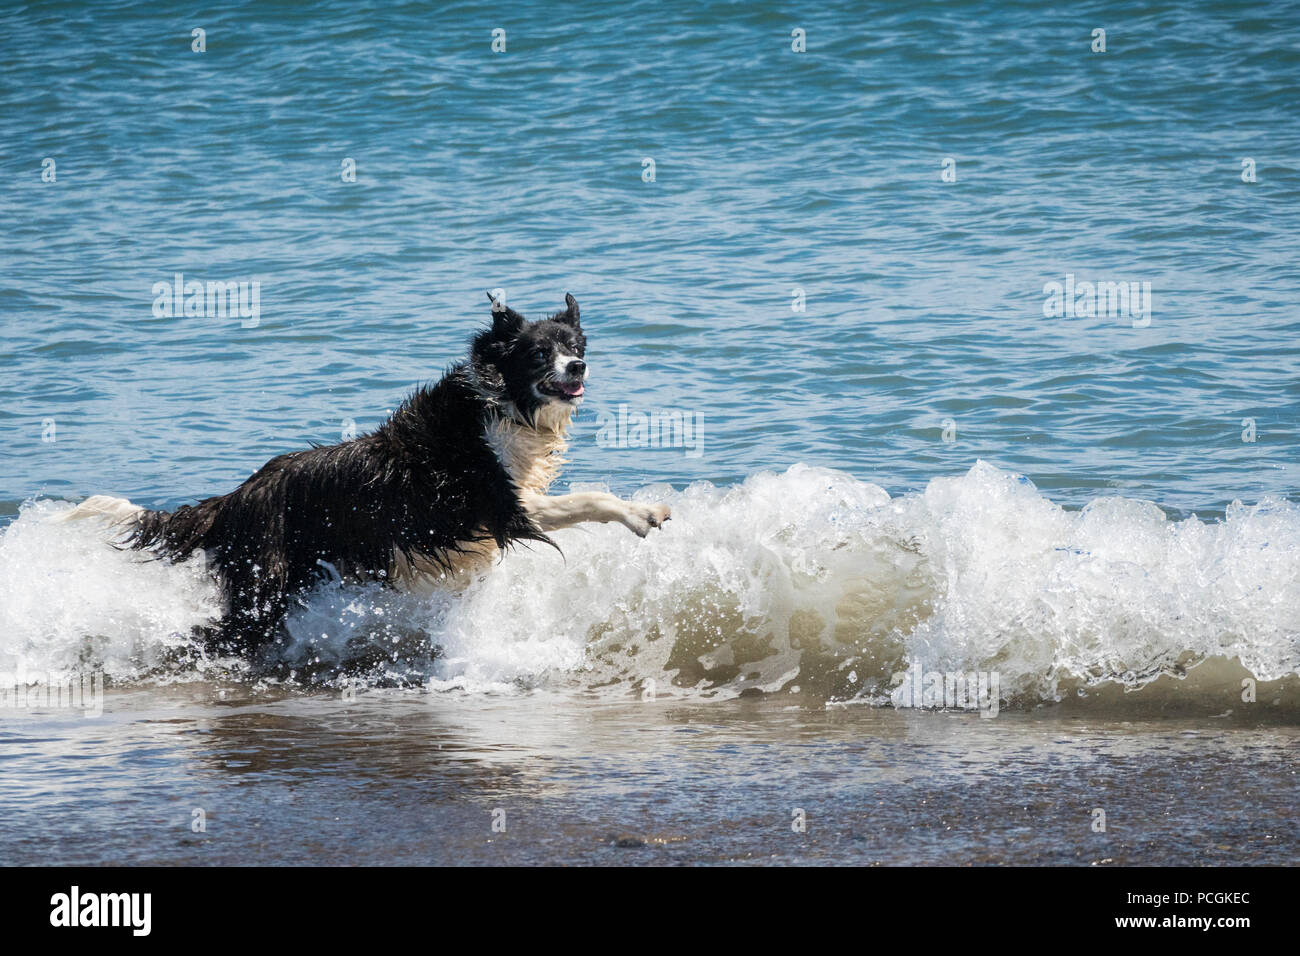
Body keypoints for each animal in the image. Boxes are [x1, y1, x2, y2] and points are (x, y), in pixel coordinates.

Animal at [59, 297, 670, 658]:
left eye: (575, 346)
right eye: (540, 352)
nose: (579, 367)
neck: (501, 405)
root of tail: (232, 499)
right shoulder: (497, 505)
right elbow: (587, 498)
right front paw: (642, 514)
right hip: (264, 588)